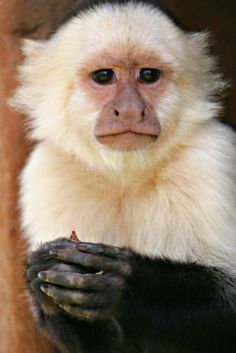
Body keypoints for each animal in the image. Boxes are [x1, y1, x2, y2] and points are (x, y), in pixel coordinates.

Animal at [11, 0, 236, 352]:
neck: (126, 176)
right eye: (104, 76)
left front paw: (121, 284)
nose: (130, 110)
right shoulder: (46, 172)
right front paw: (40, 273)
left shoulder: (213, 158)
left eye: (148, 75)